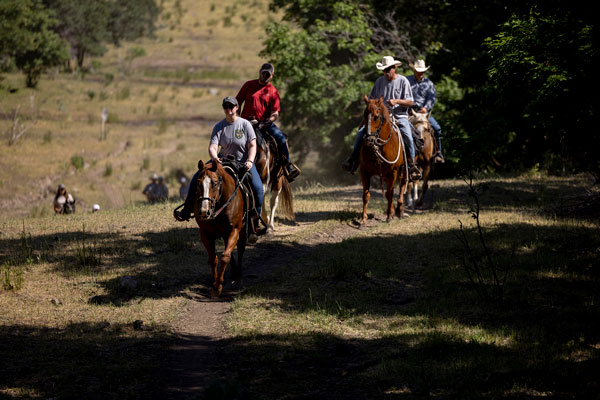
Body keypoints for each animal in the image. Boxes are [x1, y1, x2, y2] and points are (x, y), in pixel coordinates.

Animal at [193, 159, 247, 296]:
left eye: (215, 183)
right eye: (198, 183)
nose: (204, 211)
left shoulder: (234, 230)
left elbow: (225, 257)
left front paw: (218, 287)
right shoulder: (205, 233)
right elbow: (213, 258)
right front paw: (214, 283)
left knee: (240, 249)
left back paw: (238, 277)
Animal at [358, 95, 410, 223]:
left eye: (376, 117)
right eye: (364, 115)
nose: (369, 140)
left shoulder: (393, 172)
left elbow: (390, 193)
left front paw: (389, 215)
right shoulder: (364, 171)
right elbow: (366, 195)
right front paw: (363, 218)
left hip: (404, 170)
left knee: (402, 185)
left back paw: (399, 210)